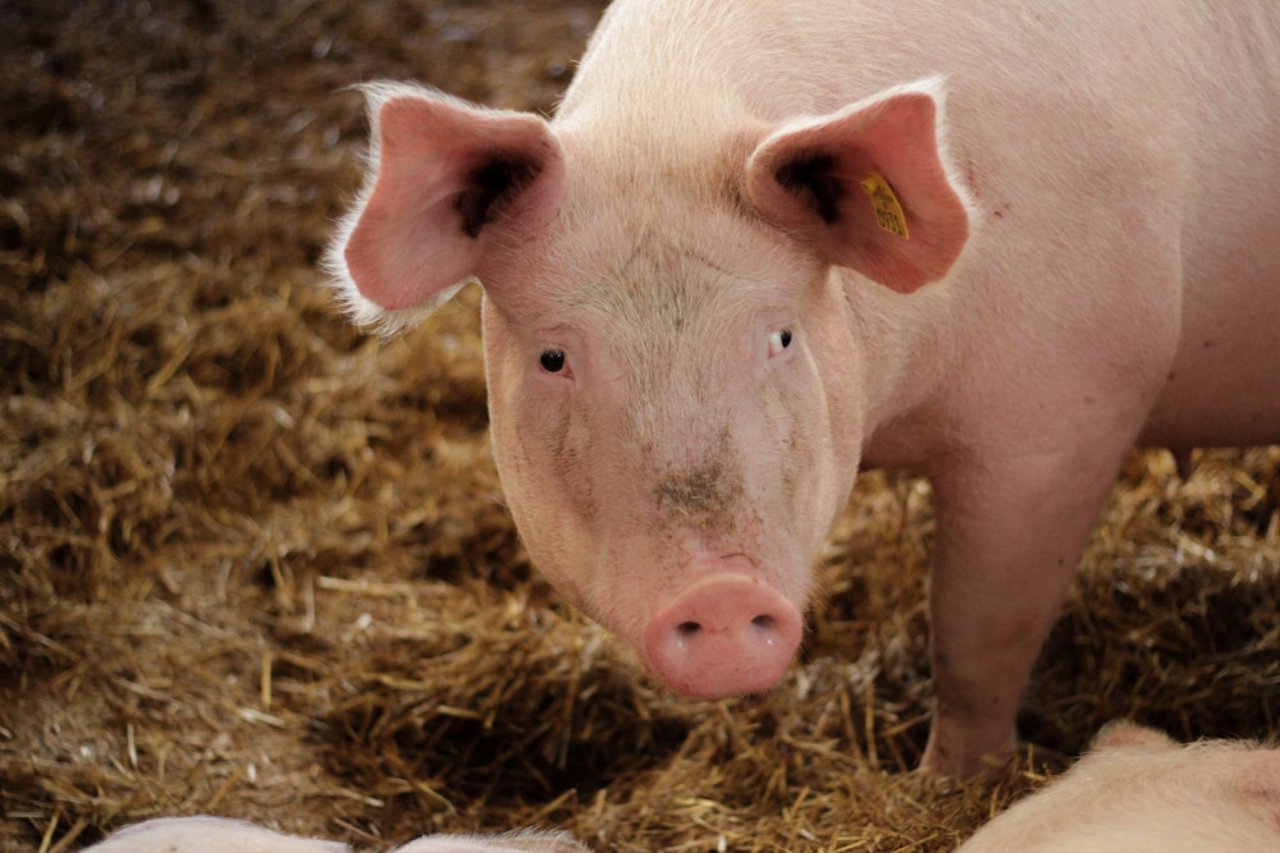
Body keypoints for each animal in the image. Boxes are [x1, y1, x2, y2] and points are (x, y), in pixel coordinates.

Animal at [325, 0, 1280, 773]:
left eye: (780, 335)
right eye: (554, 359)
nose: (719, 593)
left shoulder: (1064, 416)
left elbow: (976, 638)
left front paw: (944, 788)